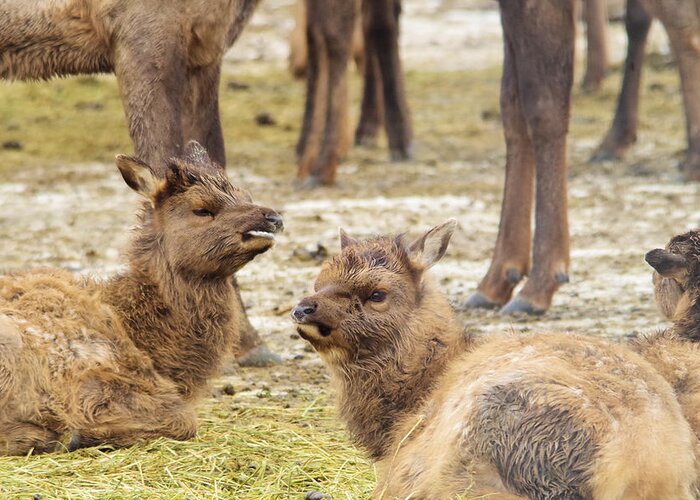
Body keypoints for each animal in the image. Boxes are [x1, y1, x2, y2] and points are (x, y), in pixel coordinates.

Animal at [0, 0, 278, 364]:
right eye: (201, 209)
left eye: (245, 193)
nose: (271, 218)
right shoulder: (143, 29)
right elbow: (162, 160)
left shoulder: (205, 46)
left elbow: (210, 152)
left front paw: (246, 341)